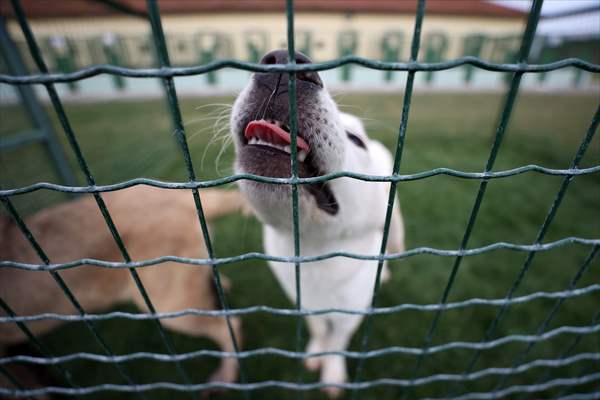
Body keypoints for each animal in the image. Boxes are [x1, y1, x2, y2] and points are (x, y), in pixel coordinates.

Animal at [230, 49, 404, 394]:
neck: (314, 254)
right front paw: (315, 353)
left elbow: (337, 339)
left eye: (356, 140)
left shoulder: (350, 312)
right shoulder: (301, 300)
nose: (283, 62)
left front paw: (332, 372)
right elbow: (318, 328)